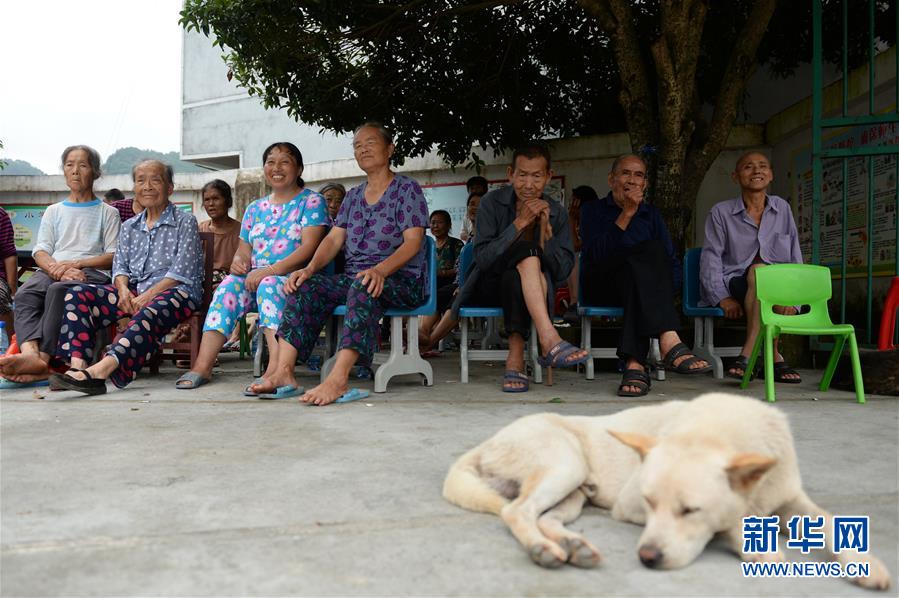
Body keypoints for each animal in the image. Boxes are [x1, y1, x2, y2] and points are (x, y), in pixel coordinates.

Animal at [442, 392, 892, 592]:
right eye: (649, 502)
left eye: (690, 510)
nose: (648, 558)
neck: (717, 431)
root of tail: (489, 440)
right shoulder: (628, 504)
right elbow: (730, 521)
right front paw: (756, 546)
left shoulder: (790, 498)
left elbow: (830, 522)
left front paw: (865, 564)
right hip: (565, 465)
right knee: (515, 512)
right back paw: (544, 550)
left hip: (574, 493)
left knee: (544, 516)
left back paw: (573, 546)